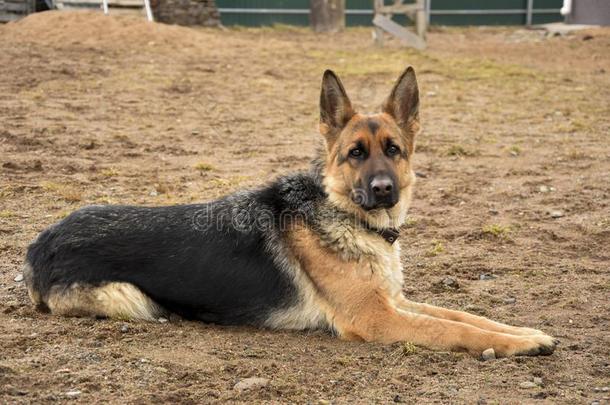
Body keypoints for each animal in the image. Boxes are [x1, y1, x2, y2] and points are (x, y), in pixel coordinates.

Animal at [23, 67, 556, 356]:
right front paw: (519, 345)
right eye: (355, 154)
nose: (383, 189)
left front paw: (525, 333)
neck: (345, 215)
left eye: (394, 150)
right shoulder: (377, 318)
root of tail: (38, 242)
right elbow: (452, 329)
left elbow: (466, 315)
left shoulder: (393, 301)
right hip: (132, 299)